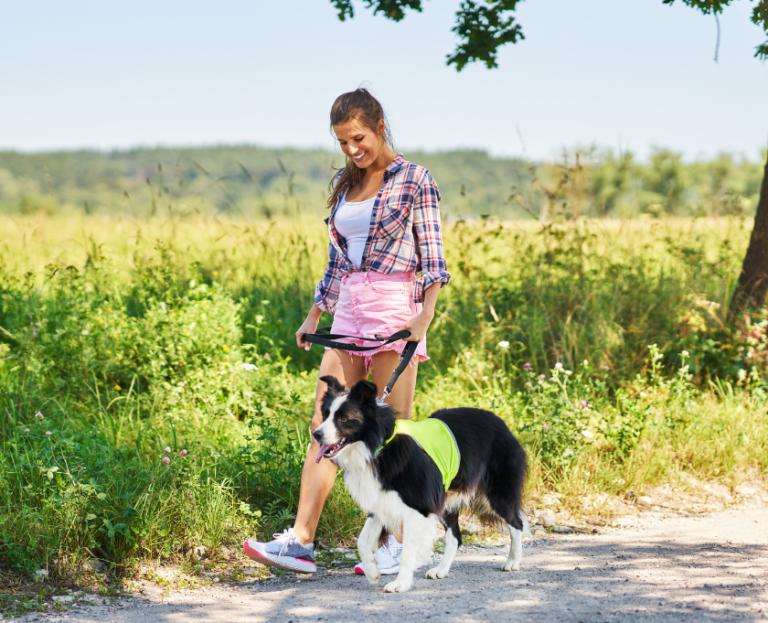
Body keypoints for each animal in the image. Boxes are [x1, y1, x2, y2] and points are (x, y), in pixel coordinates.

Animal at [312, 376, 528, 596]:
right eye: (325, 414)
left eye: (343, 418)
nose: (316, 434)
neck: (380, 445)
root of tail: (501, 423)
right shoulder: (382, 500)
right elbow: (362, 540)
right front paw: (372, 573)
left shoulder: (418, 508)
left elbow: (407, 551)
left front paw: (400, 583)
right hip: (445, 499)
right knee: (456, 536)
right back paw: (441, 570)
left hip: (497, 492)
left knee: (516, 523)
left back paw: (513, 561)